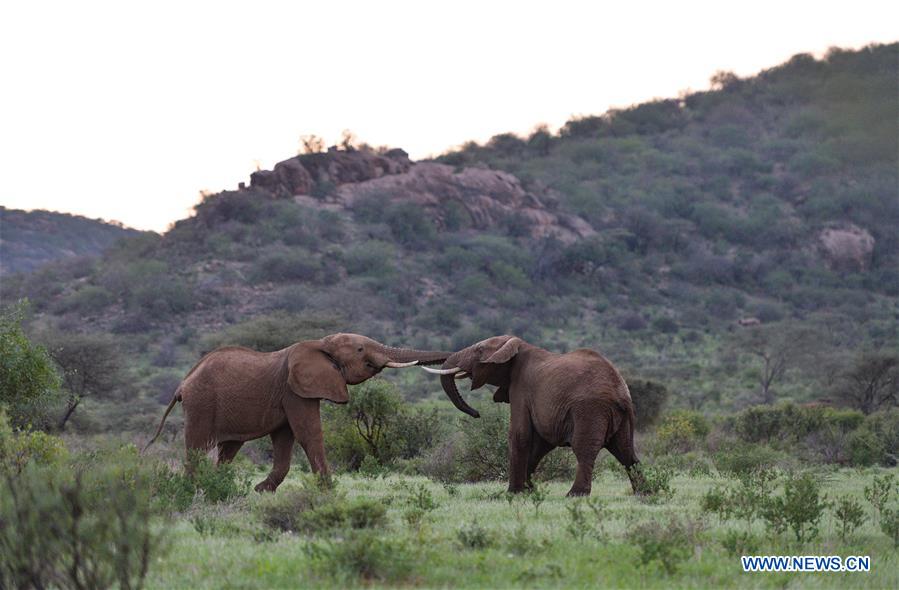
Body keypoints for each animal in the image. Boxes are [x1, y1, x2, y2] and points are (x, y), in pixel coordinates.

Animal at [146, 336, 450, 492]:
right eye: (360, 349)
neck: (320, 343)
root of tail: (182, 383)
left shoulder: (288, 394)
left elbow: (285, 439)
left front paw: (260, 491)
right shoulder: (295, 390)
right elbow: (308, 433)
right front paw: (328, 492)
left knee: (228, 450)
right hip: (201, 404)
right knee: (198, 448)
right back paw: (194, 490)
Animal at [424, 336, 644, 498]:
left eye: (479, 350)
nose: (477, 414)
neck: (516, 345)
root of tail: (619, 390)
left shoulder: (521, 388)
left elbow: (519, 435)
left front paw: (513, 493)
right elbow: (540, 443)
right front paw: (529, 490)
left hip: (590, 410)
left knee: (585, 449)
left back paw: (574, 495)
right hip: (624, 416)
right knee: (626, 452)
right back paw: (644, 492)